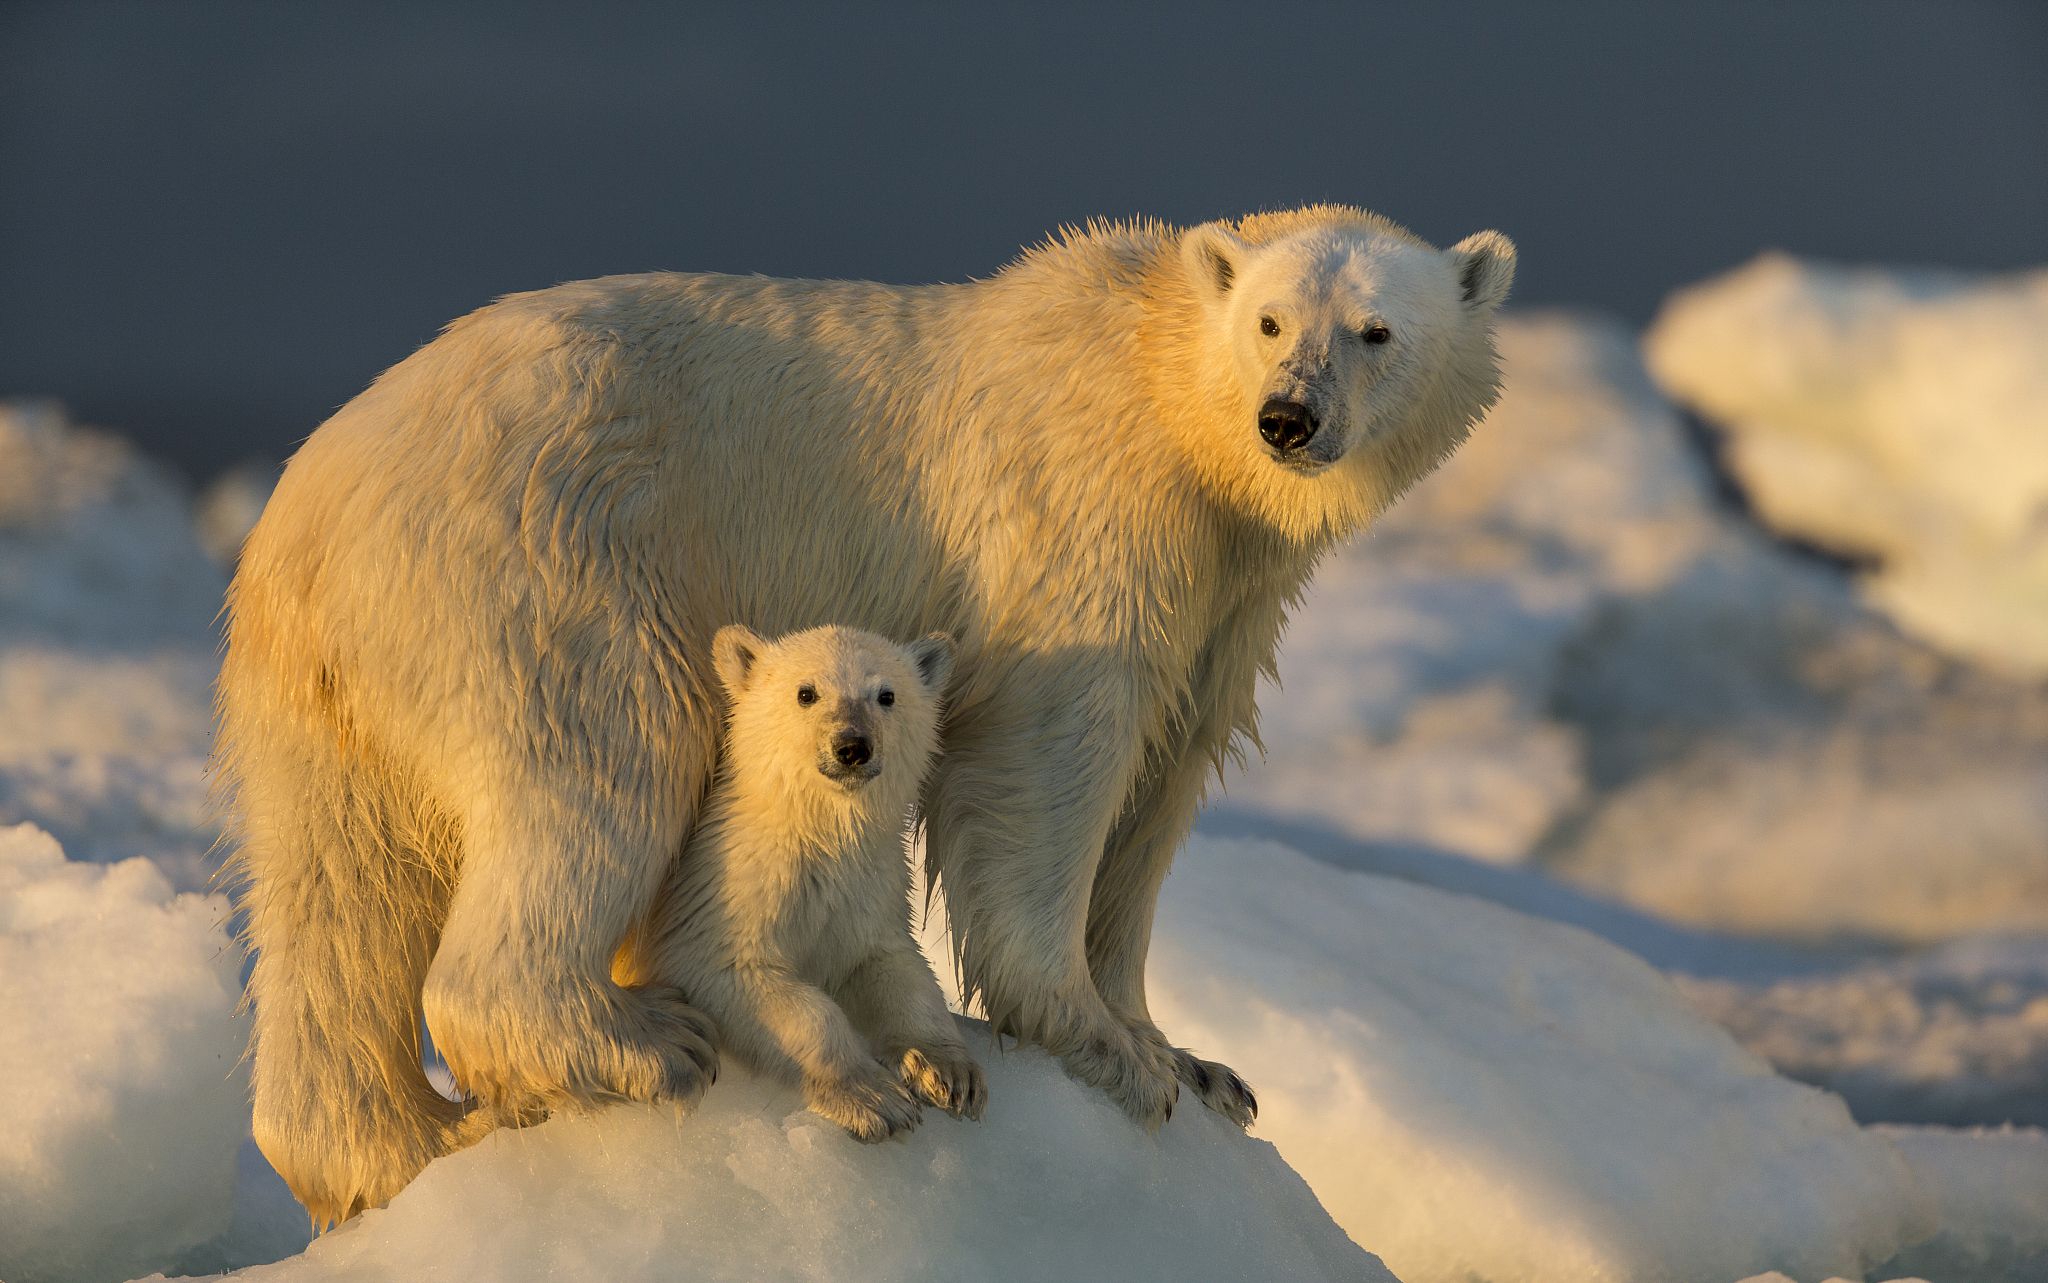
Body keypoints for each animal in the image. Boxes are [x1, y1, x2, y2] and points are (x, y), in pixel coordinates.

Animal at [634, 623, 987, 1131]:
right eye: (806, 692)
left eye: (886, 695)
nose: (853, 747)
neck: (820, 833)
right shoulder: (728, 890)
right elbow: (754, 981)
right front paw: (875, 1097)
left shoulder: (869, 890)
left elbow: (894, 967)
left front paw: (948, 1072)